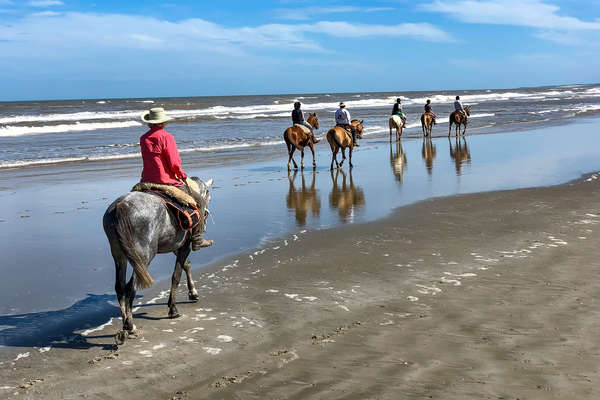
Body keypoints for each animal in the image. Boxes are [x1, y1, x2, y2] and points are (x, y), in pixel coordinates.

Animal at [103, 177, 213, 344]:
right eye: (208, 196)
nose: (206, 213)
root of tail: (121, 206)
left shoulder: (176, 246)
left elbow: (186, 265)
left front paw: (193, 293)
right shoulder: (184, 246)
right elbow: (176, 275)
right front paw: (173, 309)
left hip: (119, 255)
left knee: (120, 287)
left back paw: (125, 326)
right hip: (143, 257)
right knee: (130, 287)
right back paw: (130, 326)